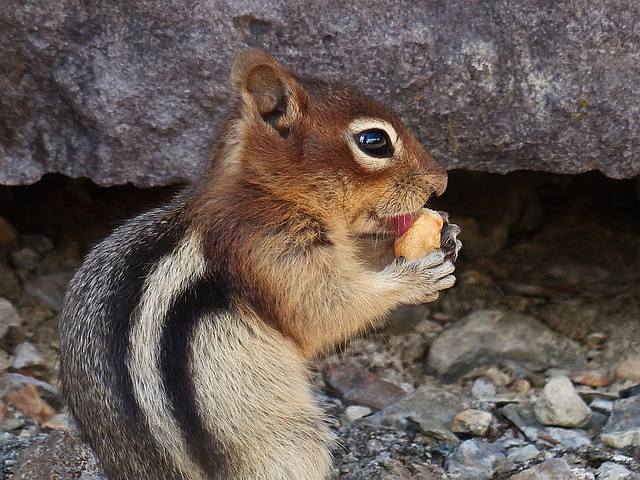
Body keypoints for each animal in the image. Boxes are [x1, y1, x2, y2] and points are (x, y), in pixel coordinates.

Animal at [58, 49, 460, 480]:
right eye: (375, 141)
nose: (441, 182)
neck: (265, 191)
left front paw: (446, 235)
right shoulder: (268, 247)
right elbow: (324, 310)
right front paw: (415, 278)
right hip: (296, 439)